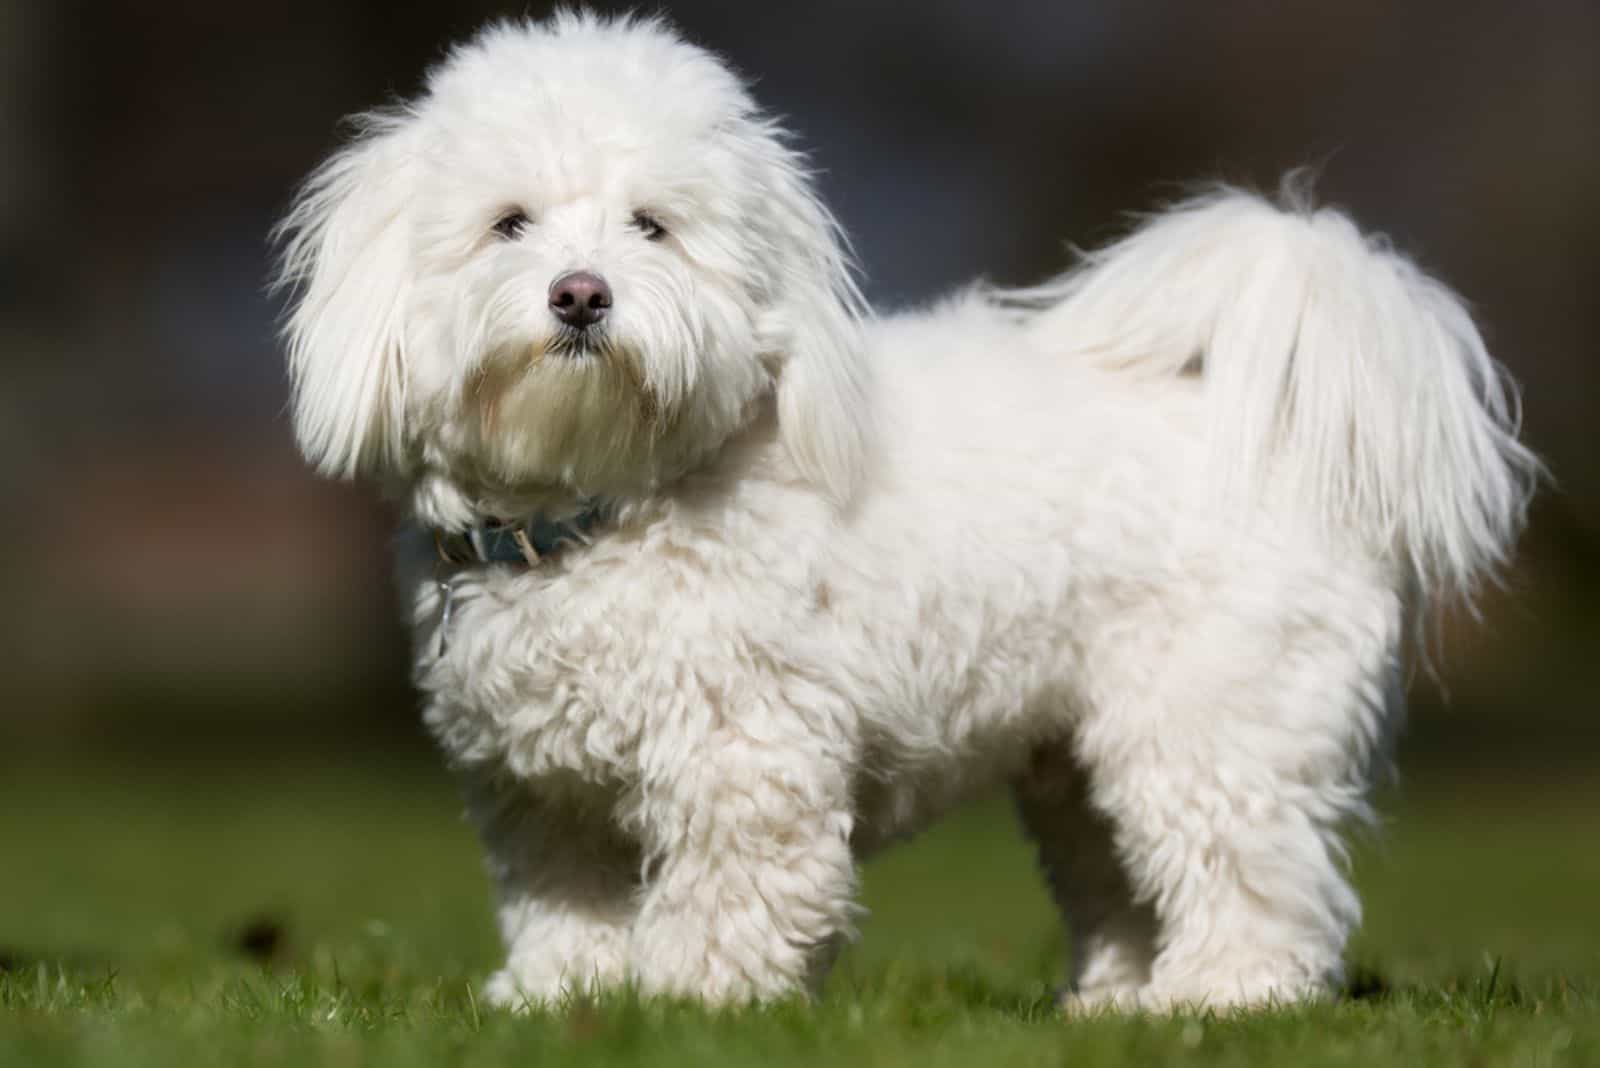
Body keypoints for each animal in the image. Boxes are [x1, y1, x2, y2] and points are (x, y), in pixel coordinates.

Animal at [275, 10, 1536, 1010]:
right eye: (509, 223)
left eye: (651, 226)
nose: (580, 296)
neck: (606, 506)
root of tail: (1276, 431)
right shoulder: (544, 793)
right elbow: (566, 905)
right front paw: (560, 1000)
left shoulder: (745, 754)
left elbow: (735, 889)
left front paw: (690, 1000)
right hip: (1078, 762)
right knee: (1122, 879)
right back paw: (1119, 1008)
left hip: (1212, 722)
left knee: (1256, 876)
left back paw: (1223, 1001)